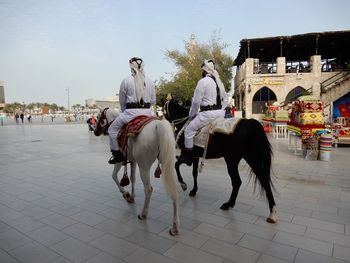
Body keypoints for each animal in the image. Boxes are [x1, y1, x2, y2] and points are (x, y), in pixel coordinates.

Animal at [94, 108, 179, 236]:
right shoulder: (133, 160)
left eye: (99, 117)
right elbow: (132, 178)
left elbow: (114, 176)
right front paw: (132, 197)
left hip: (144, 166)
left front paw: (125, 194)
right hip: (167, 163)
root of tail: (158, 125)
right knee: (173, 187)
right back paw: (174, 227)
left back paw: (143, 214)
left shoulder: (120, 160)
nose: (95, 132)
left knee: (148, 189)